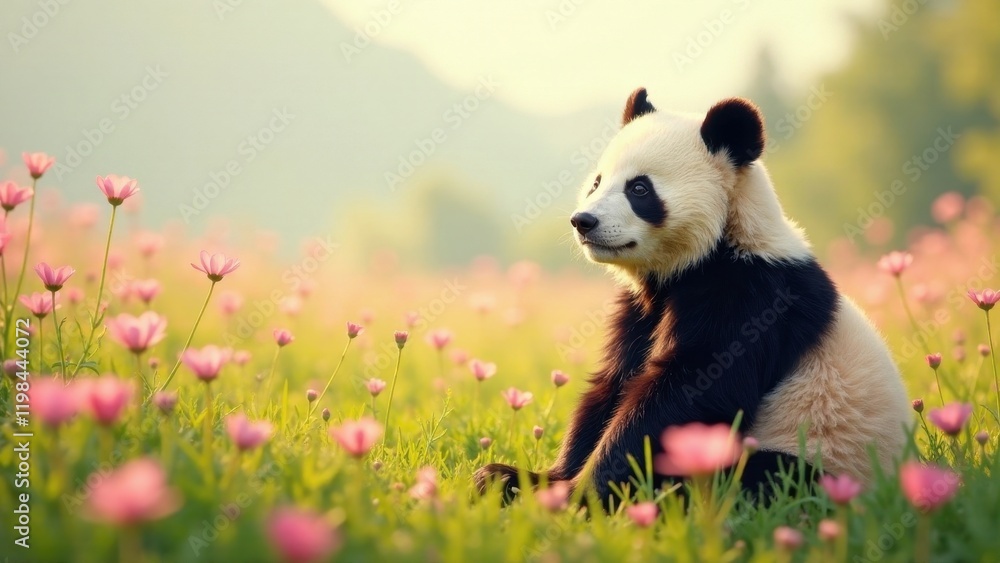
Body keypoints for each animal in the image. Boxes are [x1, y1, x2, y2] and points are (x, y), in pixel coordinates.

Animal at [475, 88, 912, 506]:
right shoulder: (641, 310)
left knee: (768, 477)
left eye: (639, 188)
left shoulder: (751, 296)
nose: (584, 221)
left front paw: (579, 495)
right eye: (597, 182)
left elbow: (690, 390)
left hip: (820, 452)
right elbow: (613, 383)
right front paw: (529, 480)